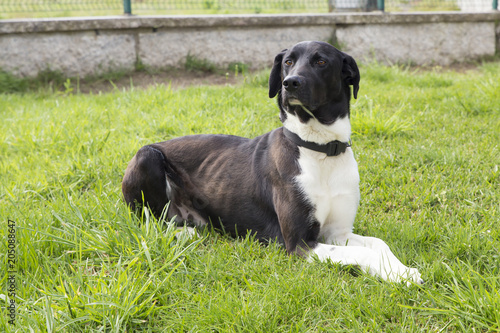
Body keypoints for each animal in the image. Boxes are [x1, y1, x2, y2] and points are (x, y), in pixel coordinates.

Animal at [122, 40, 422, 284]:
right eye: (288, 61)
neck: (320, 150)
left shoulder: (337, 232)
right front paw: (399, 274)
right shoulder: (299, 243)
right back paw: (183, 234)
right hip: (146, 157)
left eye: (321, 61)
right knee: (149, 222)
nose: (290, 82)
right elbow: (363, 253)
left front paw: (401, 271)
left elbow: (378, 244)